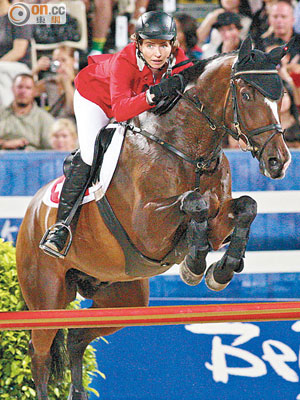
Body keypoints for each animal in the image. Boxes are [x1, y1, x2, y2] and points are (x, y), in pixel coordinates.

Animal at [16, 36, 290, 398]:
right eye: (246, 95)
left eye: (280, 96)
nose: (278, 162)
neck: (187, 149)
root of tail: (31, 213)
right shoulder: (147, 229)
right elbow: (194, 203)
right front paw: (195, 264)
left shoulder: (220, 218)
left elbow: (246, 207)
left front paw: (221, 270)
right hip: (47, 297)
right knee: (41, 358)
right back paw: (56, 238)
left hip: (122, 298)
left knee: (75, 338)